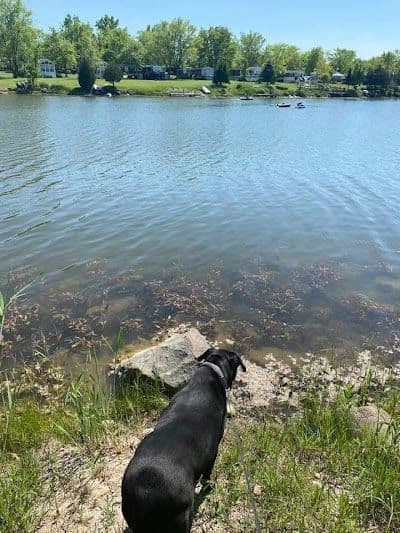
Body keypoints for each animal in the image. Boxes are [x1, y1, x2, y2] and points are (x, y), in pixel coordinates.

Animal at [121, 348, 246, 533]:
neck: (212, 371)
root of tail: (146, 492)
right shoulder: (213, 451)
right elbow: (207, 475)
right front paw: (209, 486)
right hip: (182, 519)